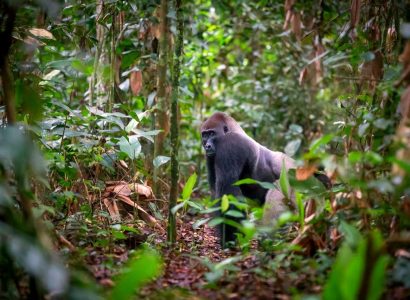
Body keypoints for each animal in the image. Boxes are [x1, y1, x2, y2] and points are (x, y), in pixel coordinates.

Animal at [200, 111, 332, 247]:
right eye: (204, 135)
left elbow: (228, 192)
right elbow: (216, 192)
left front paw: (231, 238)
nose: (207, 146)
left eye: (212, 133)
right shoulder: (211, 156)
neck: (233, 130)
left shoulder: (230, 143)